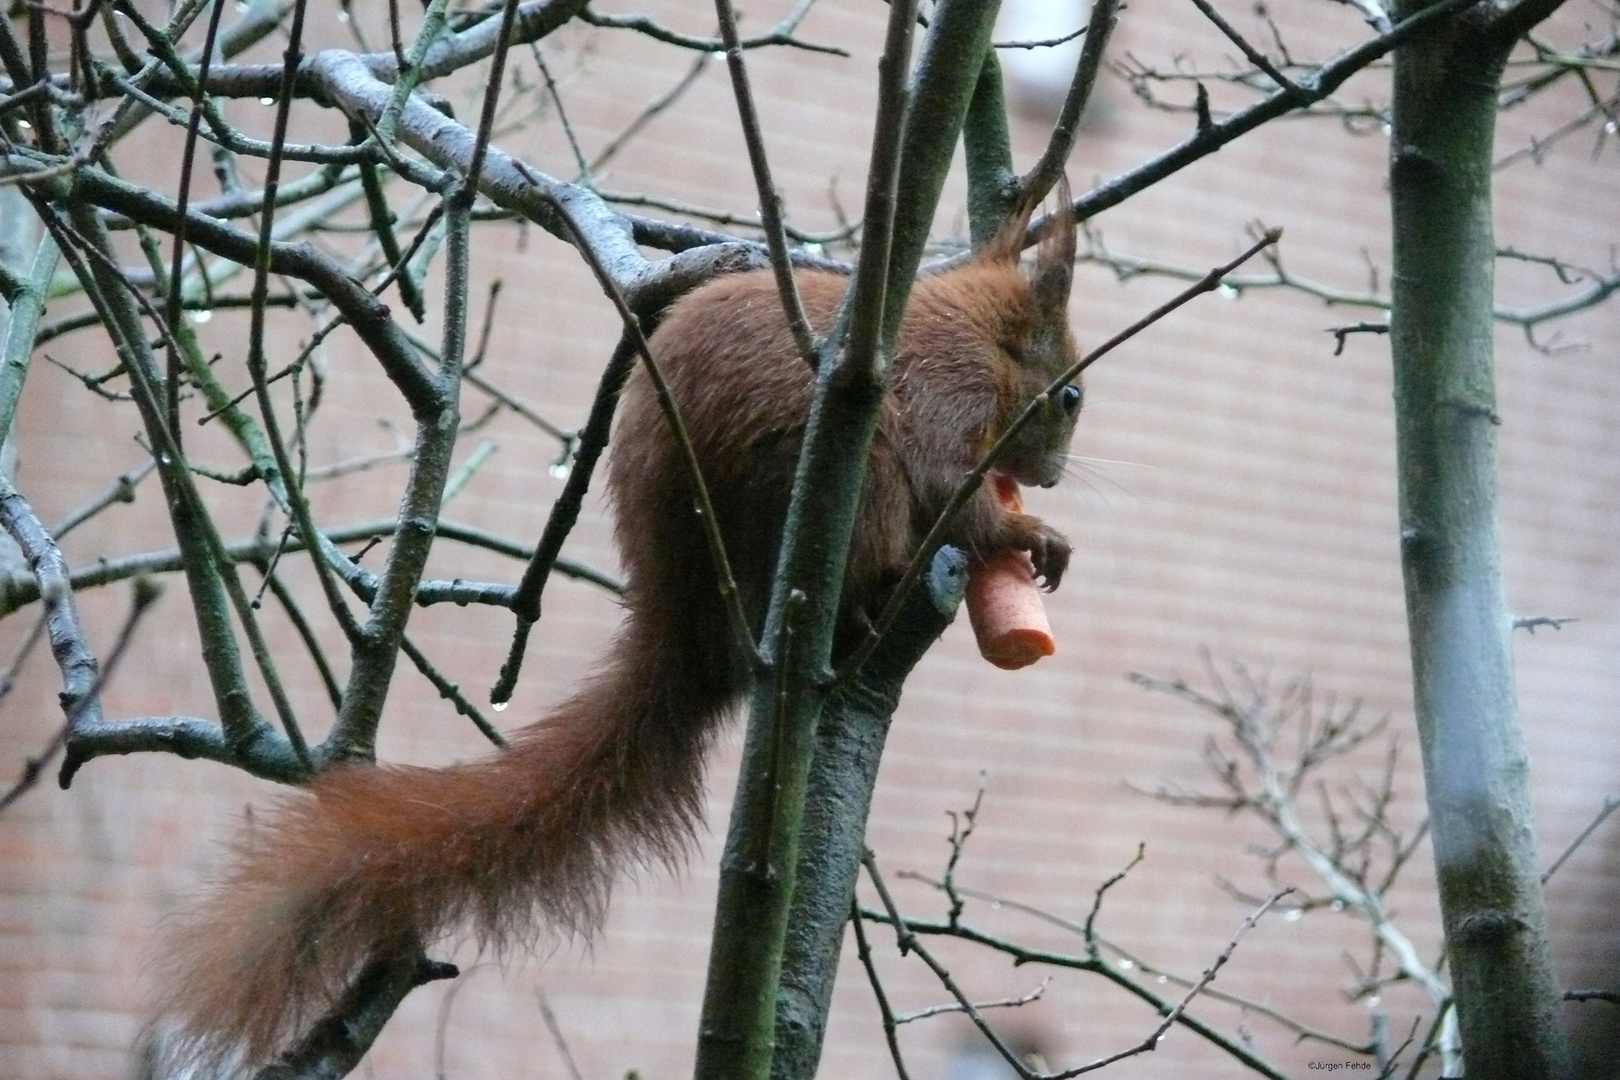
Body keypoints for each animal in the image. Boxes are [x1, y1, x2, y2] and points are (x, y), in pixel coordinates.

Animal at [154, 190, 1088, 1068]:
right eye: (1071, 394)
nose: (1048, 474)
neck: (970, 331)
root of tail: (688, 631)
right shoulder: (943, 405)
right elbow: (958, 500)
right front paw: (1029, 535)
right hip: (848, 495)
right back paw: (872, 599)